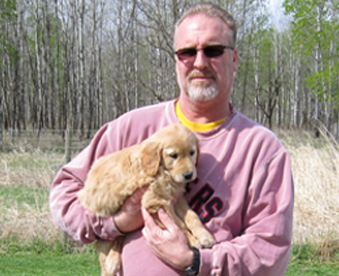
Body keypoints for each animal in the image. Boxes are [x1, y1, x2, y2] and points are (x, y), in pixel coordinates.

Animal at [77, 124, 215, 276]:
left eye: (192, 153)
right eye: (173, 155)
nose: (189, 175)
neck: (162, 170)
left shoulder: (177, 197)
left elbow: (192, 216)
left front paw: (205, 235)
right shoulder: (156, 200)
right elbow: (179, 224)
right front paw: (192, 240)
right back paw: (112, 262)